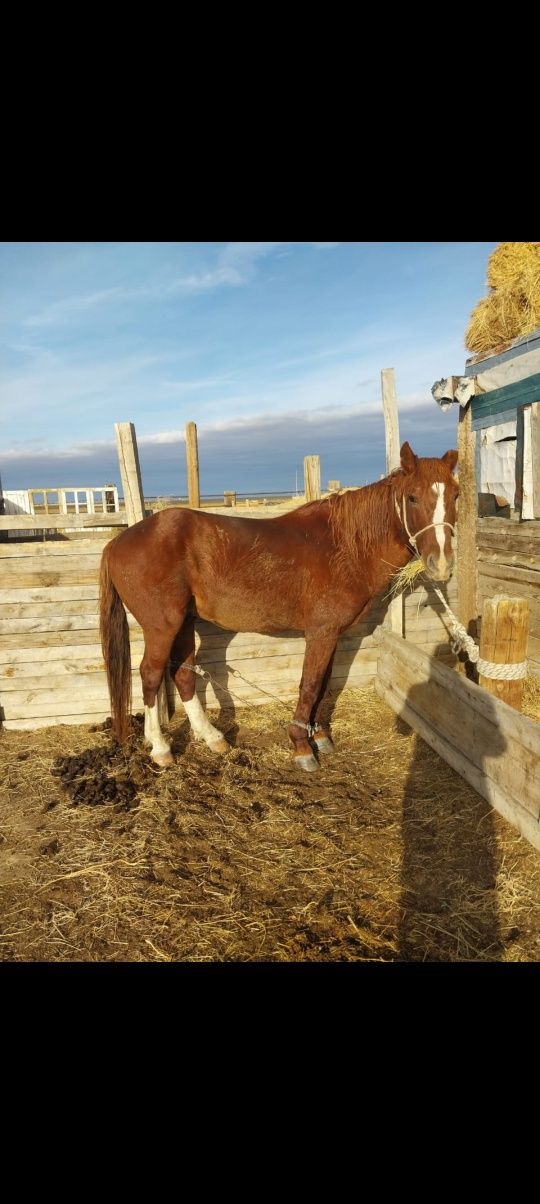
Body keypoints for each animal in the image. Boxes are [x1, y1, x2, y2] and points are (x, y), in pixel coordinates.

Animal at [98, 443, 457, 770]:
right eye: (412, 497)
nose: (441, 564)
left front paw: (319, 735)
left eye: (455, 496)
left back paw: (212, 737)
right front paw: (301, 745)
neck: (344, 545)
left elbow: (323, 683)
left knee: (183, 674)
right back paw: (160, 747)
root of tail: (118, 541)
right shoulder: (321, 632)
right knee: (151, 674)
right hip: (163, 625)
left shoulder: (332, 635)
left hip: (184, 622)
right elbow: (310, 685)